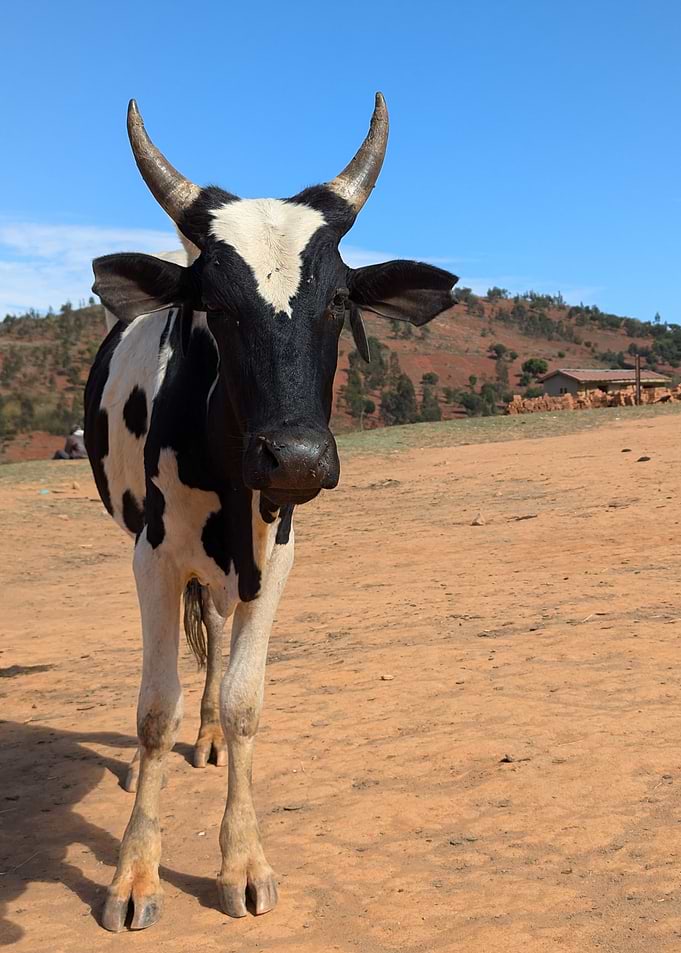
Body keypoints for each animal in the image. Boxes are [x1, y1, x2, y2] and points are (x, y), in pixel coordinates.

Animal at [84, 93, 457, 933]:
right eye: (214, 305)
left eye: (339, 299)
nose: (296, 457)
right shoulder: (152, 555)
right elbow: (154, 708)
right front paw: (134, 871)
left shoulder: (277, 554)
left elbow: (244, 699)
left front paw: (243, 861)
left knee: (217, 641)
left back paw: (209, 738)